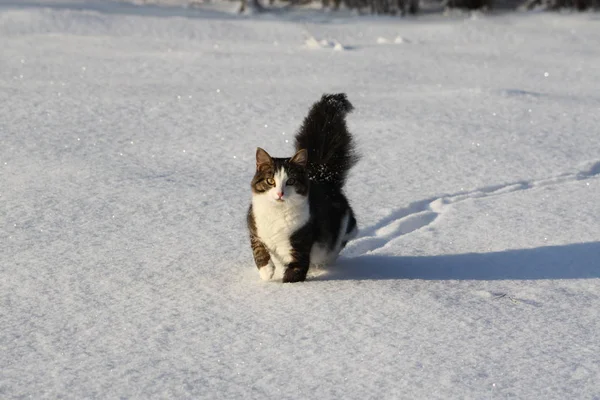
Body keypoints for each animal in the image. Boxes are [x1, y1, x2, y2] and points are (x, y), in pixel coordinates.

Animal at [246, 92, 358, 282]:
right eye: (270, 181)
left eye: (290, 181)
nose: (280, 193)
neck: (277, 214)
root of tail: (322, 176)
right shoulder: (254, 225)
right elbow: (259, 248)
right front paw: (267, 272)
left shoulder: (300, 245)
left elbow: (294, 273)